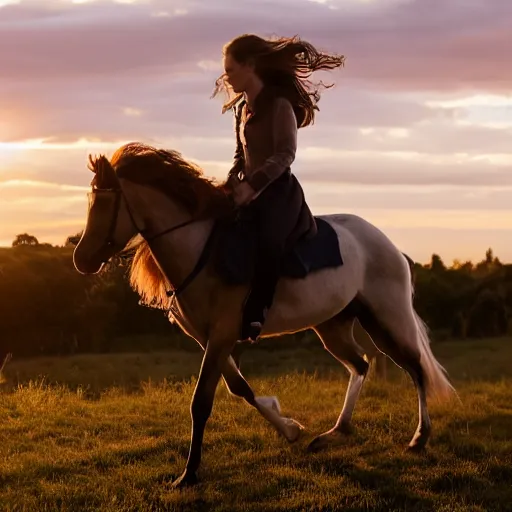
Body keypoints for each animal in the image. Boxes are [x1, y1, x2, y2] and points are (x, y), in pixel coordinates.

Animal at [72, 141, 456, 488]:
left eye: (105, 202)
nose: (82, 260)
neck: (201, 249)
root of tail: (390, 246)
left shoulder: (222, 334)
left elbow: (202, 402)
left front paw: (189, 474)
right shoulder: (208, 338)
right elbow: (239, 387)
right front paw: (289, 429)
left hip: (386, 317)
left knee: (415, 367)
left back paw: (418, 438)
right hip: (333, 326)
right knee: (361, 364)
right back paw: (335, 433)